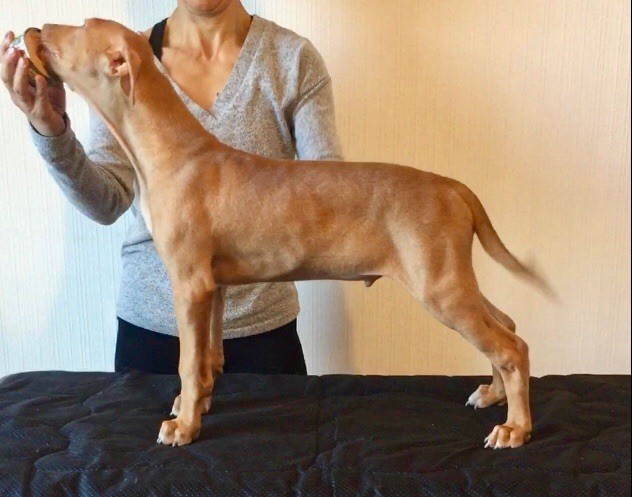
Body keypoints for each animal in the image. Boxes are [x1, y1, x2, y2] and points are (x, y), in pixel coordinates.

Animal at [37, 18, 552, 449]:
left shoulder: (189, 283)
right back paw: (493, 395)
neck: (173, 150)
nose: (36, 29)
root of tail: (454, 186)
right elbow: (207, 360)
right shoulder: (212, 286)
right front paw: (196, 405)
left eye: (80, 26)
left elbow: (186, 361)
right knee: (506, 324)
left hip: (439, 285)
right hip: (451, 277)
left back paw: (515, 428)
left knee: (511, 346)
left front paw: (183, 427)